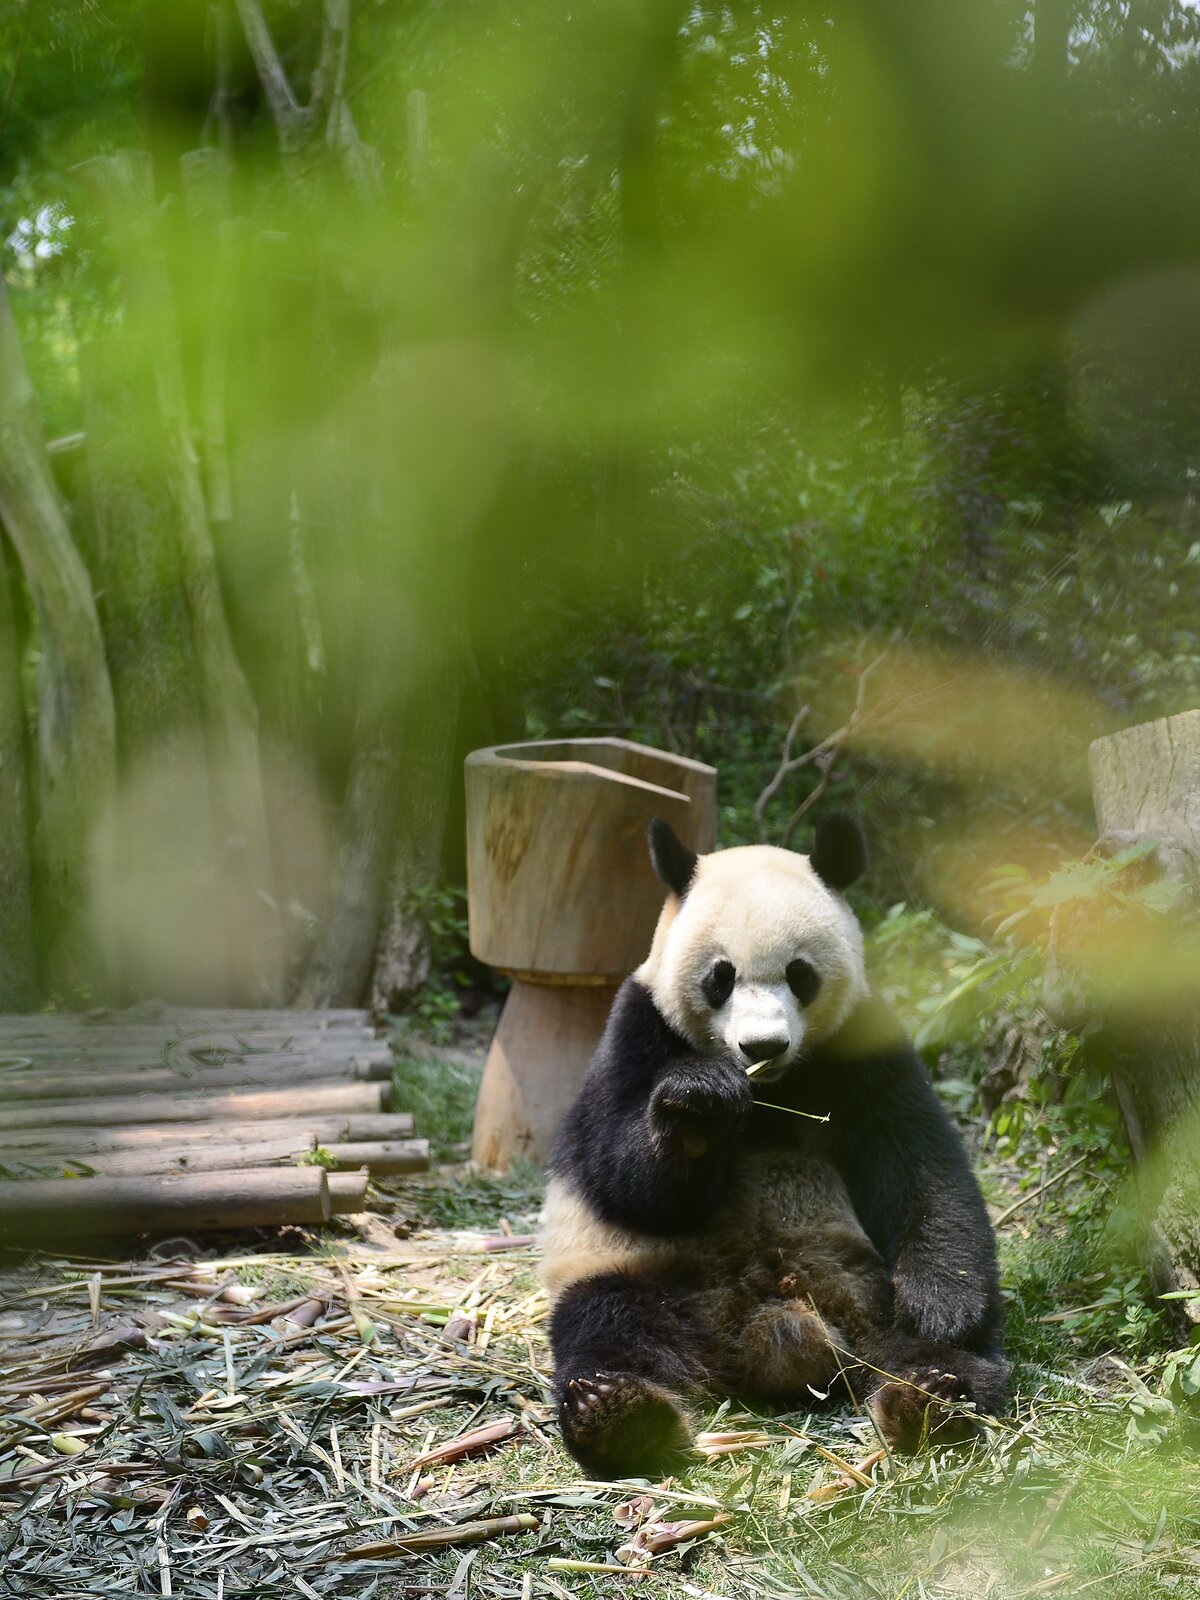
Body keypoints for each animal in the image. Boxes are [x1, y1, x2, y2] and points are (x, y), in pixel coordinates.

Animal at [540, 813, 1007, 1479]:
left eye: (799, 974)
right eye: (721, 977)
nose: (762, 1047)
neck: (772, 1091)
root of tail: (767, 1333)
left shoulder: (862, 1042)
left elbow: (918, 1159)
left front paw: (942, 1303)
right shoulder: (636, 1029)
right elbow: (620, 1177)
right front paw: (700, 1108)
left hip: (865, 1285)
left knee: (932, 1349)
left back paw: (930, 1400)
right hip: (639, 1274)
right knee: (609, 1326)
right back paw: (617, 1414)